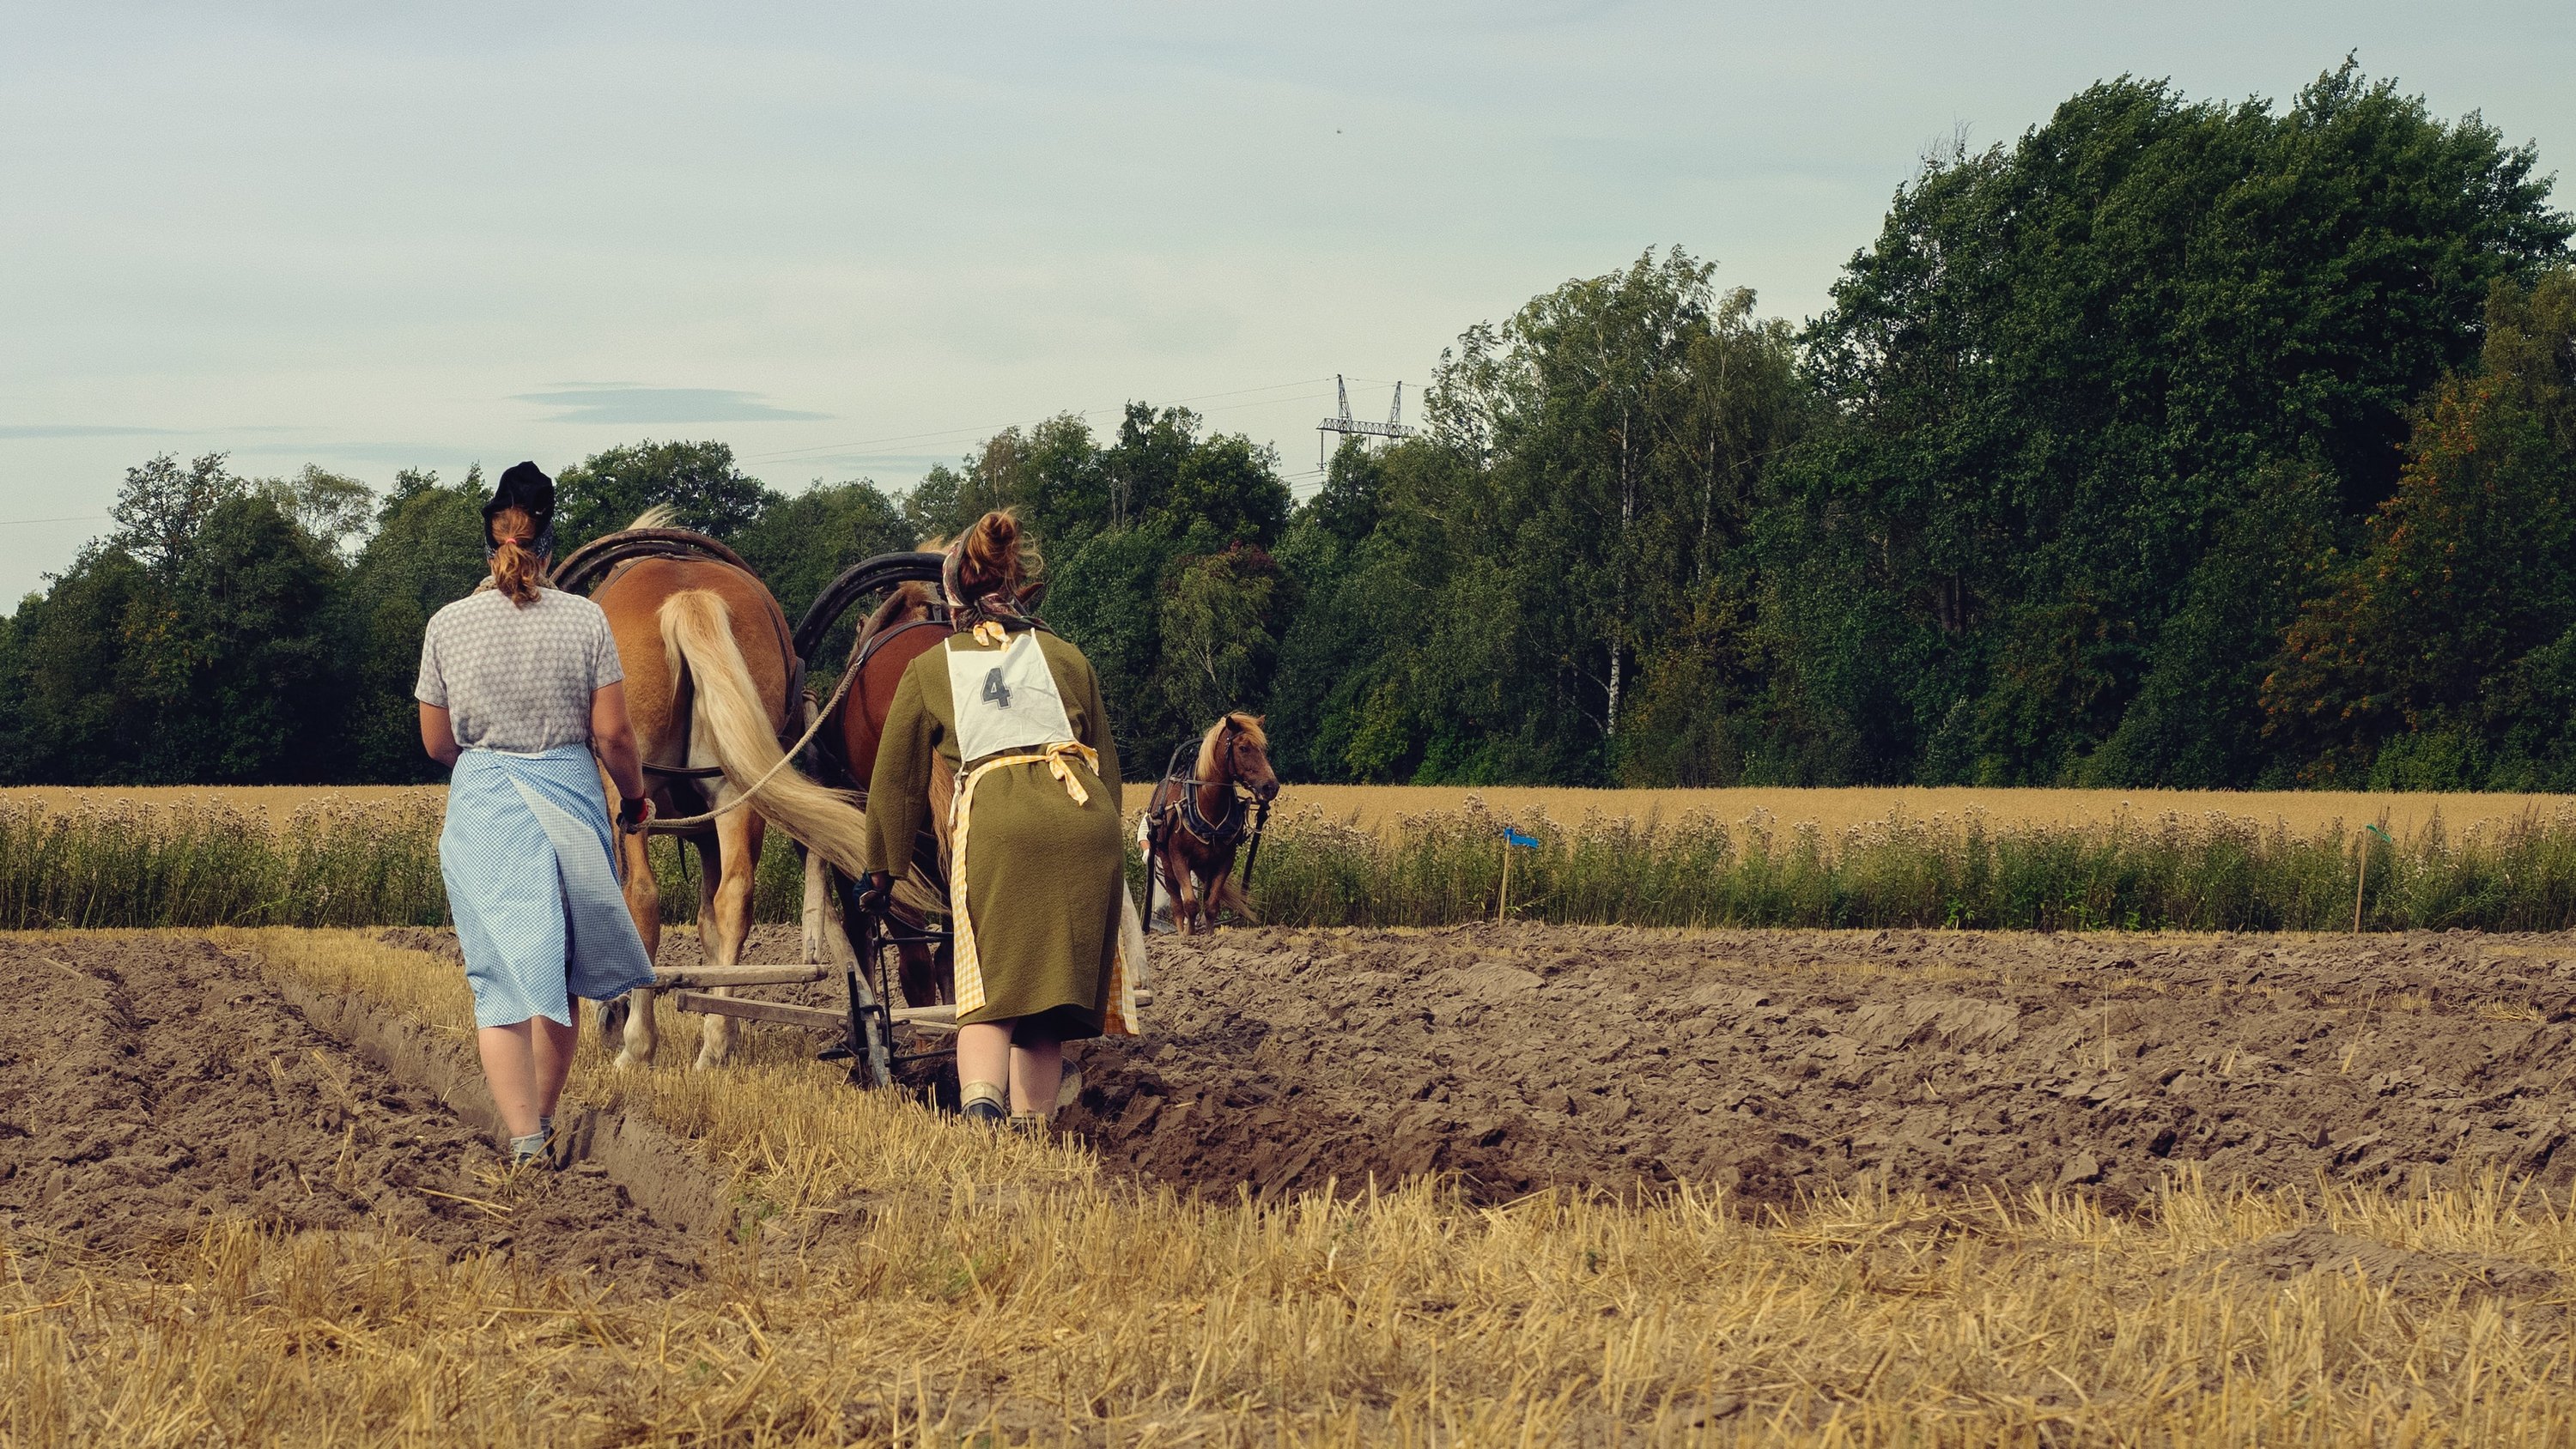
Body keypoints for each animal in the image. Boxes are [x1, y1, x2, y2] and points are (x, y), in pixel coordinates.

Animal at [1149, 715, 1278, 942]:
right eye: (1243, 748)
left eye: (1263, 748)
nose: (1271, 787)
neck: (1207, 804)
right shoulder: (1179, 858)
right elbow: (1190, 904)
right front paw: (1189, 938)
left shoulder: (1224, 860)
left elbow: (1211, 905)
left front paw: (1209, 938)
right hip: (1165, 859)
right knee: (1175, 900)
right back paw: (1179, 932)